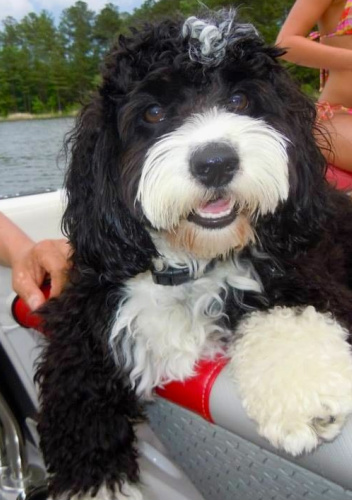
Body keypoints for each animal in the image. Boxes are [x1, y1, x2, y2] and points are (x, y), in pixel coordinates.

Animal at [36, 8, 352, 500]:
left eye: (240, 99)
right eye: (154, 111)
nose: (216, 163)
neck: (190, 265)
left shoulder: (305, 268)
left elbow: (293, 315)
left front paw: (306, 395)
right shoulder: (85, 320)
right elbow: (78, 403)